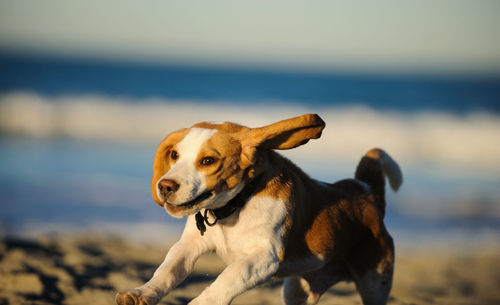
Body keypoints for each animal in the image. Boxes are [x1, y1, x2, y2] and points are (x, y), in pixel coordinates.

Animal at [116, 113, 402, 304]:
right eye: (174, 155)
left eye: (208, 161)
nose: (165, 186)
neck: (232, 208)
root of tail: (366, 192)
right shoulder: (189, 245)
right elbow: (167, 270)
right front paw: (142, 293)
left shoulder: (265, 257)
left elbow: (229, 277)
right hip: (296, 290)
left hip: (374, 283)